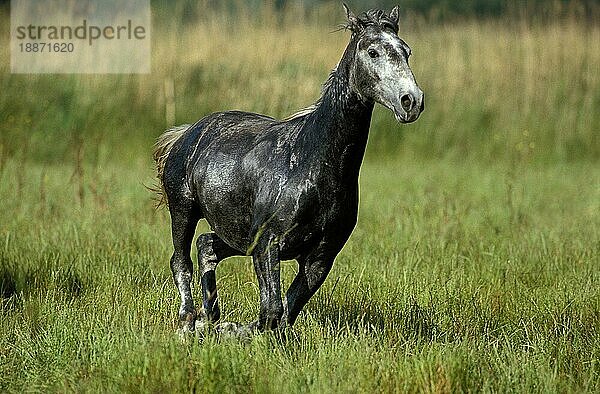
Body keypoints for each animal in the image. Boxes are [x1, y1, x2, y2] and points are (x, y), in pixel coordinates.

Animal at [154, 3, 426, 336]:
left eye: (407, 51)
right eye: (372, 51)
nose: (411, 102)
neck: (312, 165)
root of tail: (185, 133)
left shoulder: (320, 257)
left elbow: (285, 314)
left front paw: (236, 329)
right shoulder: (267, 244)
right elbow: (271, 311)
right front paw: (235, 331)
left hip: (237, 235)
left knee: (207, 246)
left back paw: (212, 317)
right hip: (183, 210)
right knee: (181, 261)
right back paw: (190, 323)